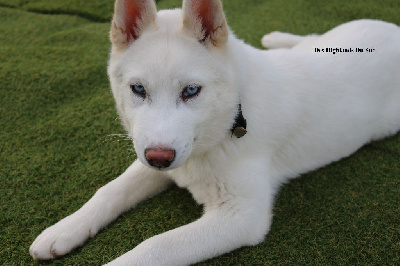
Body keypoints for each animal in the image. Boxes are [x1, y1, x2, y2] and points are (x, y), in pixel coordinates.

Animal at [31, 0, 400, 264]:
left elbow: (155, 246)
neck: (231, 117)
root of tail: (393, 30)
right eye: (137, 89)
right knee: (312, 39)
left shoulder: (242, 216)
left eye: (192, 91)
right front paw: (64, 229)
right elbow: (109, 190)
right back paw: (275, 39)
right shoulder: (155, 151)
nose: (160, 159)